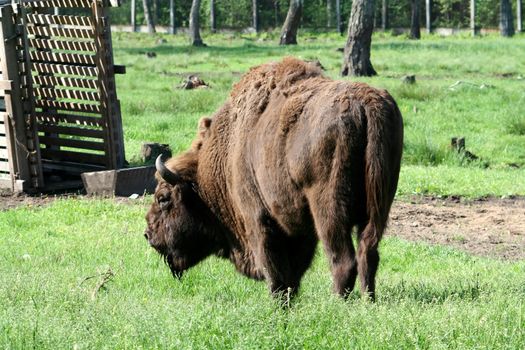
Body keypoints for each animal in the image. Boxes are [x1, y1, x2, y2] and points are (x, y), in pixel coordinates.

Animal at [143, 58, 402, 300]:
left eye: (163, 198)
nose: (148, 235)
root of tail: (365, 103)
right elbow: (293, 272)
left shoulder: (259, 219)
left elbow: (275, 270)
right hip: (378, 209)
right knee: (368, 253)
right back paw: (368, 301)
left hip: (329, 211)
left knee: (343, 260)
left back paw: (337, 303)